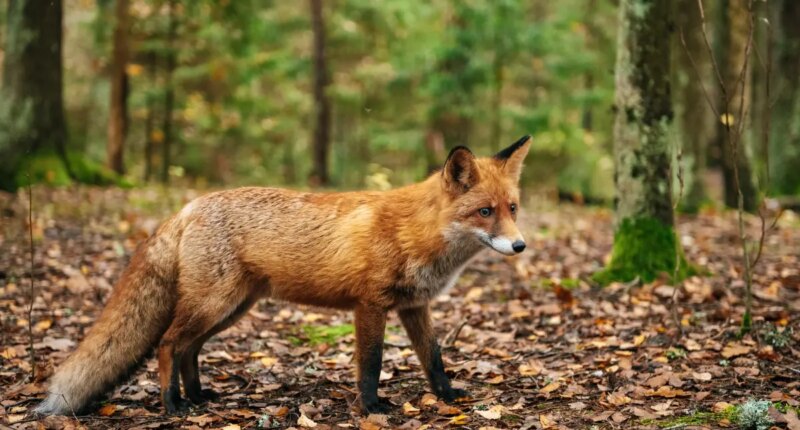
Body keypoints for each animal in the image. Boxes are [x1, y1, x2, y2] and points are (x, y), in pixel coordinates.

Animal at [35, 135, 531, 416]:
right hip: (213, 304)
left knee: (189, 349)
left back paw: (198, 397)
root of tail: (188, 206)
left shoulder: (414, 305)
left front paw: (447, 399)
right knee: (168, 343)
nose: (520, 246)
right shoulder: (370, 305)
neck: (416, 233)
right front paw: (372, 407)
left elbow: (434, 358)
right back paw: (172, 404)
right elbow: (370, 364)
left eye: (512, 209)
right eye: (484, 212)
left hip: (232, 308)